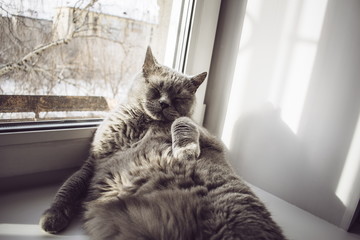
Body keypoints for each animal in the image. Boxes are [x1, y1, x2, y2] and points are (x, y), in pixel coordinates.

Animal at [39, 47, 286, 240]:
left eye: (178, 98)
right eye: (157, 89)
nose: (165, 103)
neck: (141, 124)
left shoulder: (207, 134)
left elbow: (182, 121)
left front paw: (185, 151)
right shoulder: (94, 160)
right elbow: (71, 184)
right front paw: (52, 217)